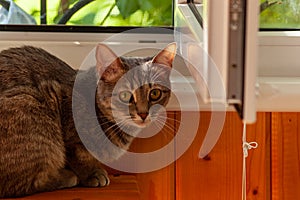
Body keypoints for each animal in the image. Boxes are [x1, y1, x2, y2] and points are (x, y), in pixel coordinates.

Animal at [0, 42, 177, 197]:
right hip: (32, 105)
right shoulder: (61, 105)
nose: (143, 114)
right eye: (125, 95)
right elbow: (79, 156)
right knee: (20, 185)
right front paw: (91, 173)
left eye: (155, 94)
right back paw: (66, 177)